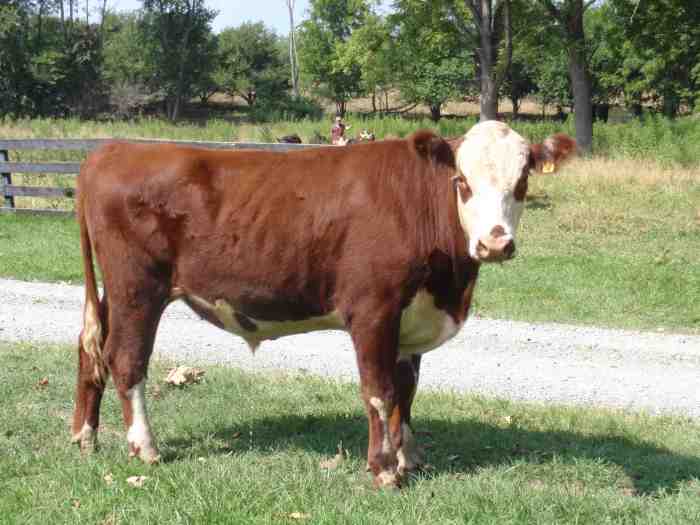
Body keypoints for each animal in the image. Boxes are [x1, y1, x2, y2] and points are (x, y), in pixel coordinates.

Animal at [71, 119, 576, 488]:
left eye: (523, 181)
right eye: (462, 181)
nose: (495, 244)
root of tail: (111, 151)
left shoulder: (410, 317)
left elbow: (406, 390)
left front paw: (409, 456)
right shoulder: (373, 309)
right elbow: (379, 390)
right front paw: (384, 469)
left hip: (114, 292)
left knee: (89, 347)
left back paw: (85, 436)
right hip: (138, 286)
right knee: (126, 359)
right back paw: (145, 447)